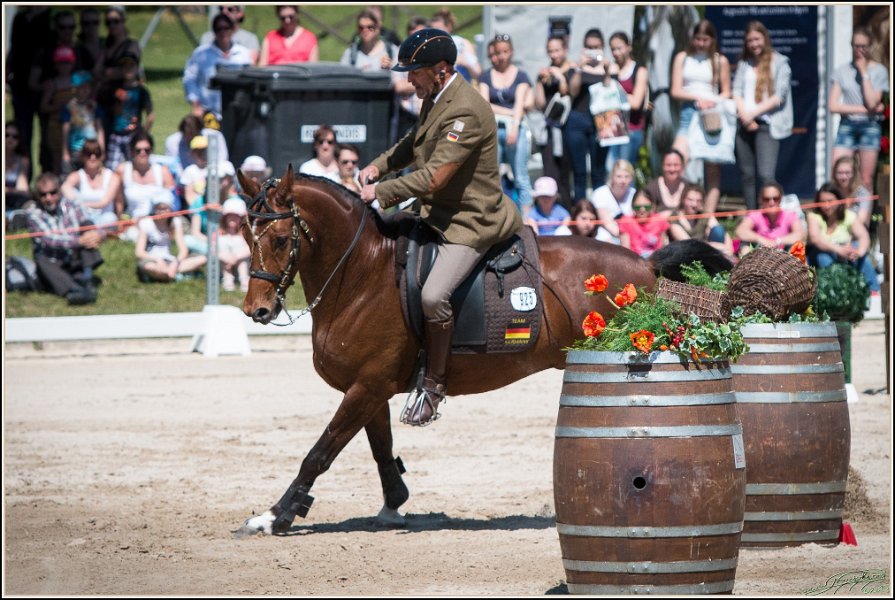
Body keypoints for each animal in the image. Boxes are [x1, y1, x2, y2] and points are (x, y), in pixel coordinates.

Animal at [235, 166, 732, 536]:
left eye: (278, 239)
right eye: (243, 235)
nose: (257, 310)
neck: (362, 272)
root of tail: (645, 265)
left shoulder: (367, 385)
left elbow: (321, 450)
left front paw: (276, 515)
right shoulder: (369, 387)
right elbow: (379, 447)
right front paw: (394, 502)